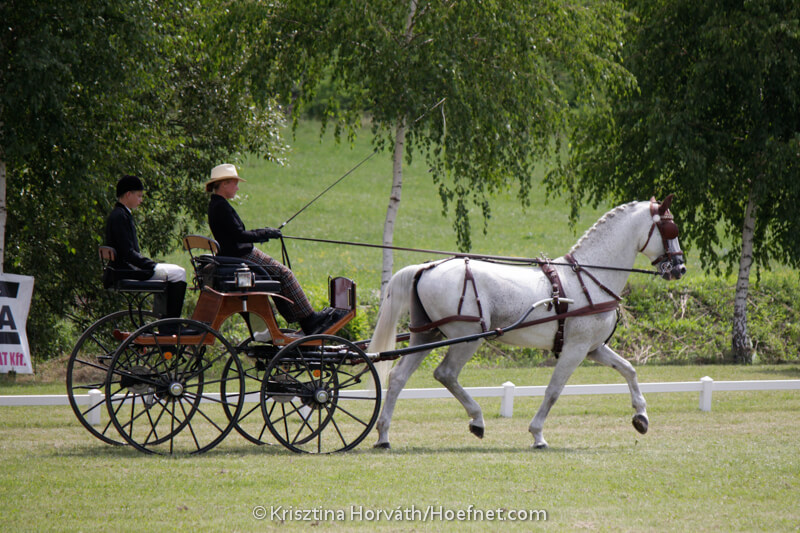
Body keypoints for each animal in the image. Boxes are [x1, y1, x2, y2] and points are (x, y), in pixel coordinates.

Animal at [366, 195, 686, 449]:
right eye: (670, 228)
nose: (680, 268)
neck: (589, 277)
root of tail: (427, 267)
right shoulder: (575, 349)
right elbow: (554, 390)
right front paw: (537, 434)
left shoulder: (593, 348)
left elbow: (629, 369)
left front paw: (641, 416)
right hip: (467, 336)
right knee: (445, 373)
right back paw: (477, 419)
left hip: (427, 334)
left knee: (398, 377)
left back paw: (383, 435)